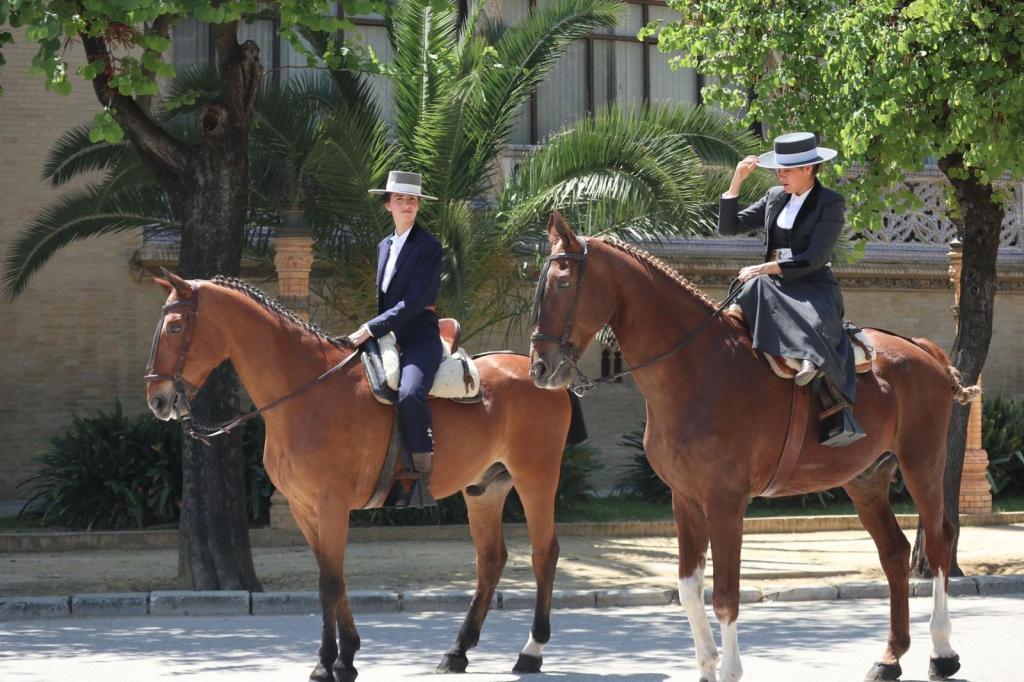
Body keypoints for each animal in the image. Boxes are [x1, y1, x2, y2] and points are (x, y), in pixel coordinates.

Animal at [145, 270, 582, 681]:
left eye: (176, 328)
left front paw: (328, 662)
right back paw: (457, 651)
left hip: (536, 479)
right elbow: (334, 577)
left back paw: (531, 651)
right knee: (491, 559)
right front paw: (346, 657)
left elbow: (329, 583)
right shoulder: (304, 509)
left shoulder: (332, 505)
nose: (158, 400)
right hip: (484, 490)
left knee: (544, 552)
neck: (306, 391)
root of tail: (541, 373)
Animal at [528, 213, 979, 682]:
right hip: (866, 480)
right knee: (894, 552)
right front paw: (707, 665)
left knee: (940, 542)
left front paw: (727, 669)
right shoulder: (684, 499)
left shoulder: (726, 502)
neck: (696, 369)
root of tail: (923, 352)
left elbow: (726, 595)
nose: (540, 367)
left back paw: (942, 651)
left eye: (563, 283)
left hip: (922, 464)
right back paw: (890, 656)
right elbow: (689, 588)